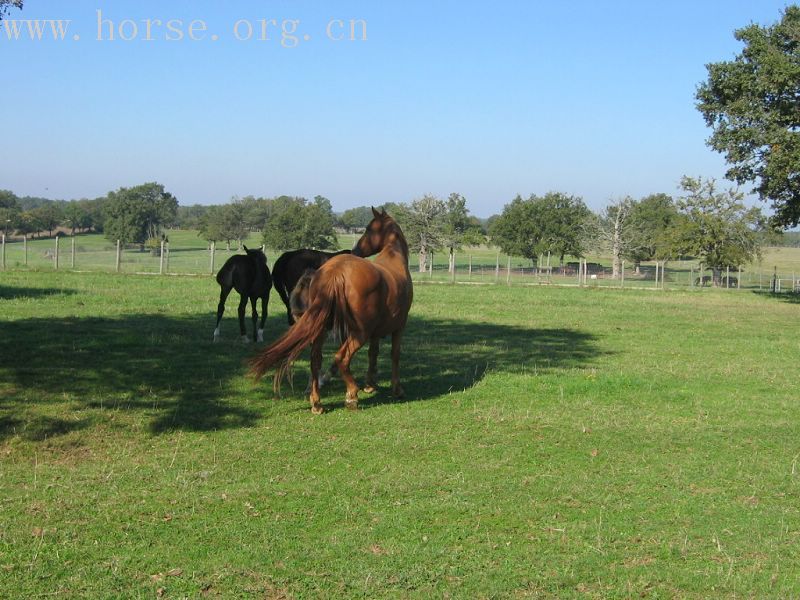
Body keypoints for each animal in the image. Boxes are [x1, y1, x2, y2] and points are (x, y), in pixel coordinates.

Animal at [250, 207, 412, 412]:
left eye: (369, 229)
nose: (356, 250)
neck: (394, 258)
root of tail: (336, 271)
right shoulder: (398, 327)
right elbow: (395, 355)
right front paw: (396, 388)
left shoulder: (376, 332)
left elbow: (372, 354)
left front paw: (370, 384)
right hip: (358, 333)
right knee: (341, 358)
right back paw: (351, 395)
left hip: (321, 329)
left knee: (315, 361)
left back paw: (317, 402)